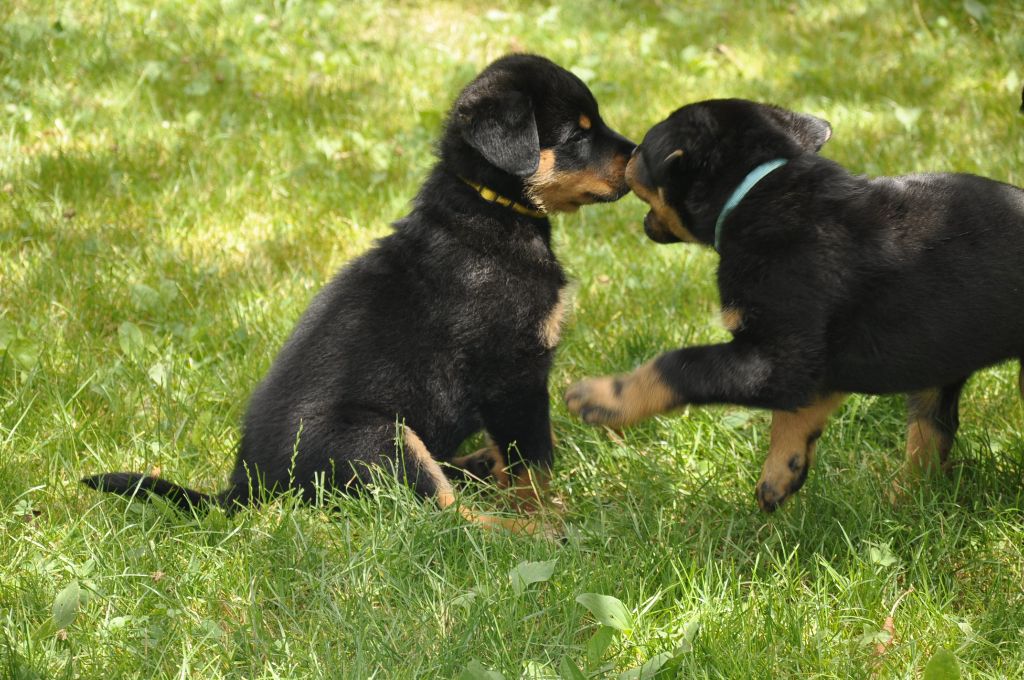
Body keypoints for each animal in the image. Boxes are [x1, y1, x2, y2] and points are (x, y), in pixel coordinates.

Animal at [86, 55, 630, 532]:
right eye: (579, 133)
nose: (638, 156)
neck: (487, 205)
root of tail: (248, 485)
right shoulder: (514, 372)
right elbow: (532, 461)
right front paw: (546, 512)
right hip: (379, 439)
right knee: (441, 515)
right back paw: (529, 532)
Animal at [565, 99, 1024, 510]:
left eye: (643, 149)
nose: (627, 152)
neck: (756, 188)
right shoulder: (813, 360)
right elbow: (798, 410)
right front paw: (780, 473)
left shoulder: (777, 355)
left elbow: (680, 364)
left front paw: (603, 398)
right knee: (930, 432)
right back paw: (905, 500)